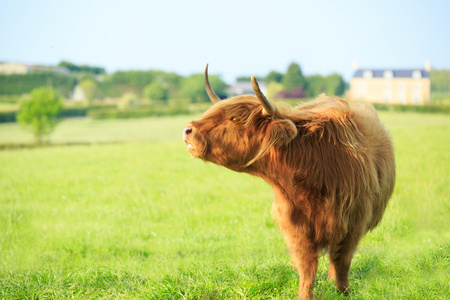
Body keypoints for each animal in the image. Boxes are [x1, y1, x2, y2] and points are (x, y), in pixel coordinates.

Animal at [182, 64, 394, 298]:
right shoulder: (295, 226)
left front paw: (343, 292)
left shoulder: (353, 223)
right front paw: (305, 295)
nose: (188, 130)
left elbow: (342, 261)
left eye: (236, 119)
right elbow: (307, 266)